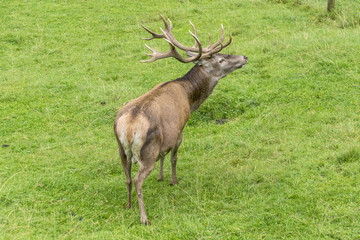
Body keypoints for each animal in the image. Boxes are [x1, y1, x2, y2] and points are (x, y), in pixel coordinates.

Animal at [114, 15, 248, 225]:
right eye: (221, 59)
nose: (244, 57)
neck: (189, 97)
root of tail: (127, 129)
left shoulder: (166, 136)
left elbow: (164, 154)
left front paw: (161, 177)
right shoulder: (179, 129)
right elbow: (173, 157)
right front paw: (173, 180)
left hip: (121, 151)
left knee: (127, 178)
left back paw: (128, 205)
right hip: (147, 152)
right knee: (137, 180)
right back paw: (144, 217)